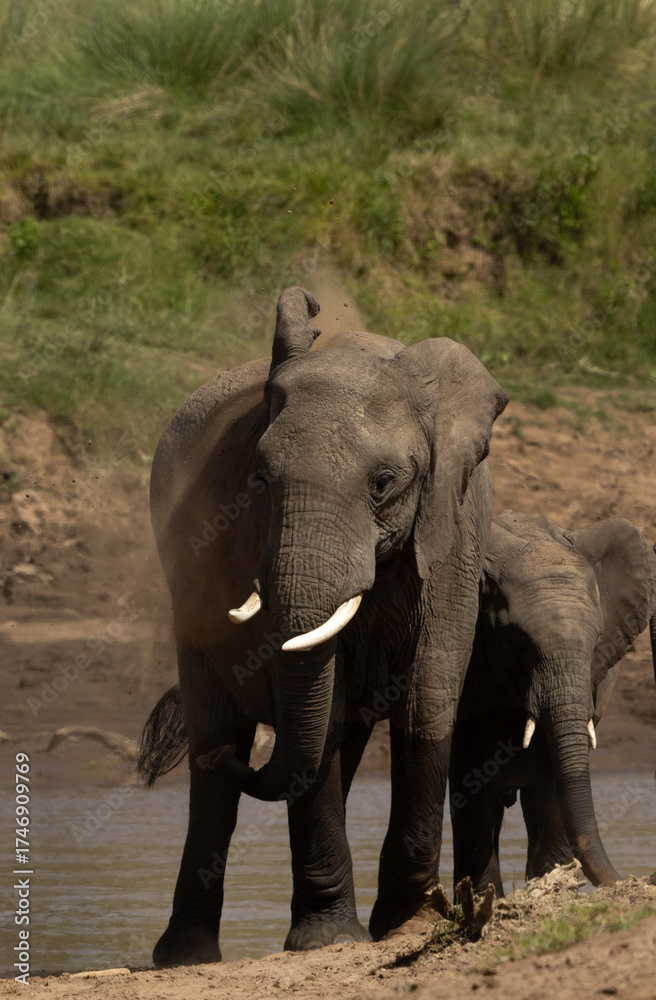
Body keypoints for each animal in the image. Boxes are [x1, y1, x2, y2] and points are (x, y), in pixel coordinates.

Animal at [137, 285, 508, 966]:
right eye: (257, 480)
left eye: (384, 484)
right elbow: (319, 713)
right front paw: (331, 941)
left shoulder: (455, 531)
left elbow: (427, 703)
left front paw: (408, 926)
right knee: (219, 749)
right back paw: (187, 955)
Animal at [449, 509, 656, 897]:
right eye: (516, 643)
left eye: (598, 641)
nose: (641, 879)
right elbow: (471, 779)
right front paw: (487, 897)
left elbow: (557, 779)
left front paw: (549, 887)